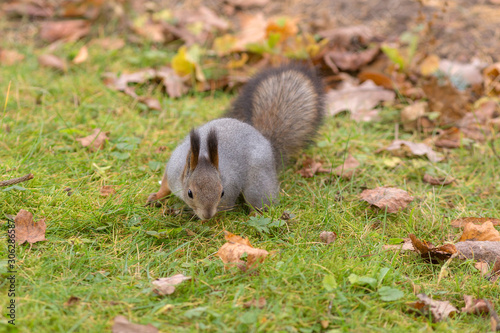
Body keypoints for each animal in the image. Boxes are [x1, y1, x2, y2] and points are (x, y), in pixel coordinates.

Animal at [146, 63, 324, 219]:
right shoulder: (174, 170)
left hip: (258, 183)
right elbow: (165, 184)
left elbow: (226, 207)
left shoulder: (229, 193)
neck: (203, 155)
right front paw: (156, 196)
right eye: (190, 193)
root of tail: (266, 142)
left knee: (262, 202)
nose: (207, 215)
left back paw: (254, 215)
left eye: (222, 192)